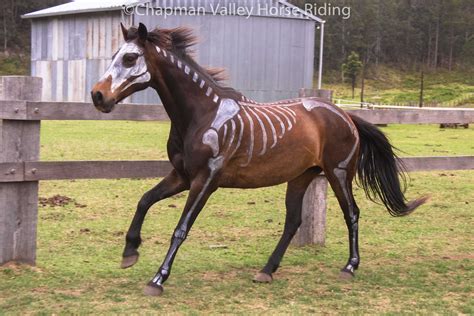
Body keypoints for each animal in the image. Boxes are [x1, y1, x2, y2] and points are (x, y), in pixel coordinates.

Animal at [90, 22, 428, 296]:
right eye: (114, 55)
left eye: (130, 58)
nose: (97, 96)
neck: (202, 115)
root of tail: (345, 115)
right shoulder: (182, 176)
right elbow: (144, 201)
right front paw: (129, 253)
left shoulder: (205, 181)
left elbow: (181, 228)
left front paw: (157, 279)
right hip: (302, 176)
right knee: (293, 222)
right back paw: (267, 271)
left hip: (338, 173)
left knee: (352, 214)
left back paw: (349, 267)